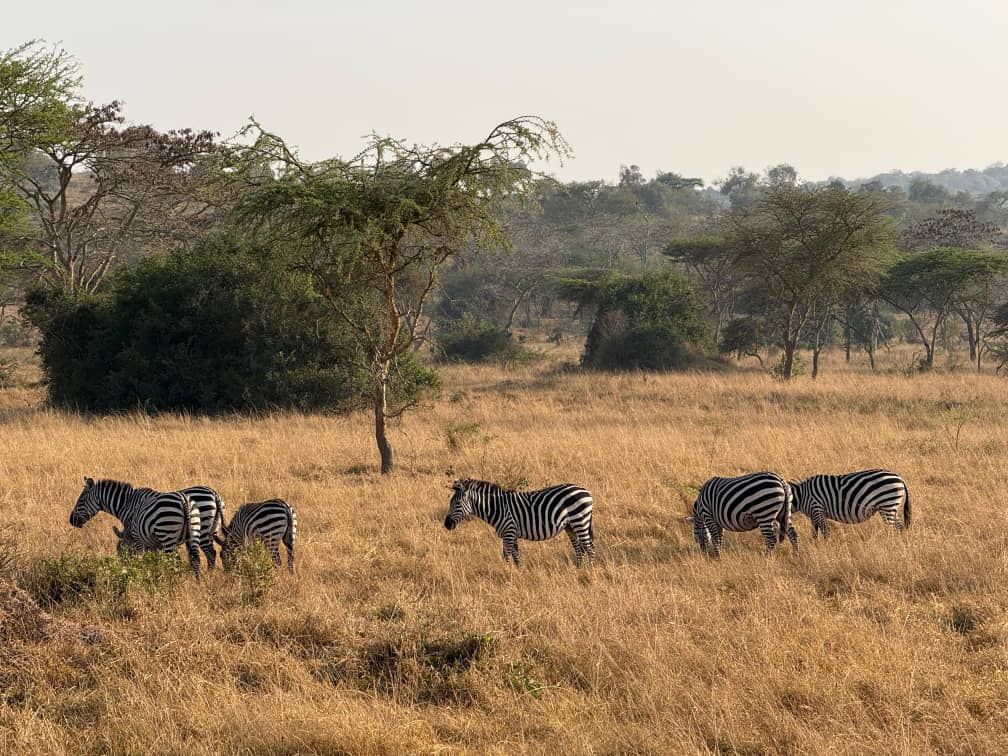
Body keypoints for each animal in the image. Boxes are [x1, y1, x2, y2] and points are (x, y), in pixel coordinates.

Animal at [69, 477, 203, 577]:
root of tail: (184, 500)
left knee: (177, 562)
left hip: (167, 535)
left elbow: (141, 562)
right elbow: (154, 561)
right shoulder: (152, 542)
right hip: (193, 533)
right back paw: (197, 583)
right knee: (195, 559)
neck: (127, 504)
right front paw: (155, 576)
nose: (71, 521)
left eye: (81, 500)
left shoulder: (137, 538)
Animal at [443, 479, 595, 567]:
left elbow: (506, 556)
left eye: (457, 504)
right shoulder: (513, 534)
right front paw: (517, 573)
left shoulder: (509, 532)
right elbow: (516, 557)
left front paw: (505, 575)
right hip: (570, 526)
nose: (446, 524)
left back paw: (590, 572)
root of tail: (585, 490)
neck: (497, 508)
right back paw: (578, 570)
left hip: (580, 521)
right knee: (579, 549)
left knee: (590, 548)